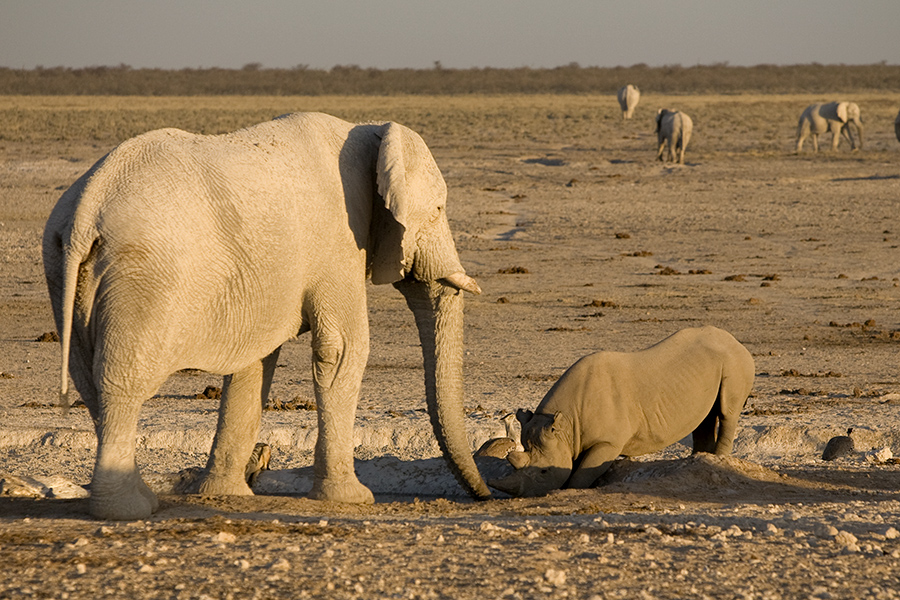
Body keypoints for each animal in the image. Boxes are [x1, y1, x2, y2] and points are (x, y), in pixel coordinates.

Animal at [42, 112, 492, 520]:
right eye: (438, 210)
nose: (485, 496)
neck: (368, 130)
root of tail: (86, 210)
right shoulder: (338, 242)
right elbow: (342, 349)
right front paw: (353, 500)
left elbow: (254, 361)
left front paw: (227, 495)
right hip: (142, 276)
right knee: (121, 382)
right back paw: (128, 510)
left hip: (64, 270)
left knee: (88, 380)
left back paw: (141, 499)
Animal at [488, 326, 756, 500]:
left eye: (544, 471)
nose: (526, 497)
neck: (566, 425)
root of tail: (735, 340)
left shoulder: (607, 442)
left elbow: (581, 474)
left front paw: (569, 491)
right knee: (704, 417)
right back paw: (697, 461)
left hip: (735, 360)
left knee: (727, 411)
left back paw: (719, 460)